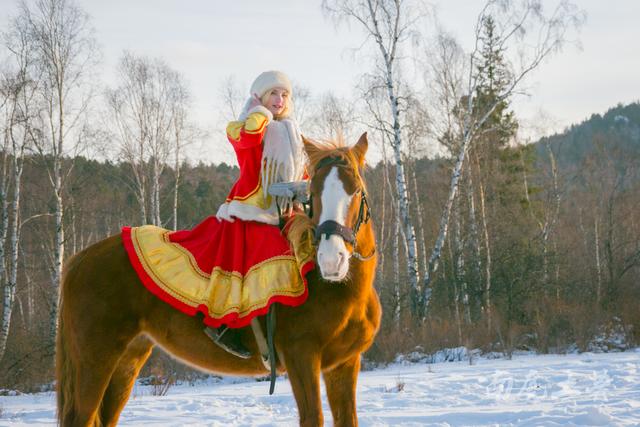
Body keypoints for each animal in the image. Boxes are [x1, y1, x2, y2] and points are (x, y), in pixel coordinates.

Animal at [56, 133, 380, 424]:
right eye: (312, 195)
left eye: (356, 191)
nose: (331, 260)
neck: (334, 290)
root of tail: (78, 259)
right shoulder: (302, 359)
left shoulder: (344, 365)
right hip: (95, 359)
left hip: (128, 359)